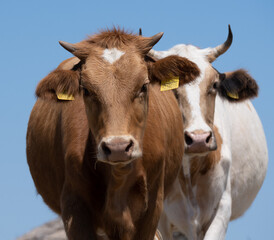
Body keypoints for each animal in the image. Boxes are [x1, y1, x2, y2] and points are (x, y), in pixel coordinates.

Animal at [26, 28, 199, 240]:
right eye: (86, 90)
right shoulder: (74, 209)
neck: (118, 178)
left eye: (144, 86)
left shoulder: (152, 209)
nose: (118, 147)